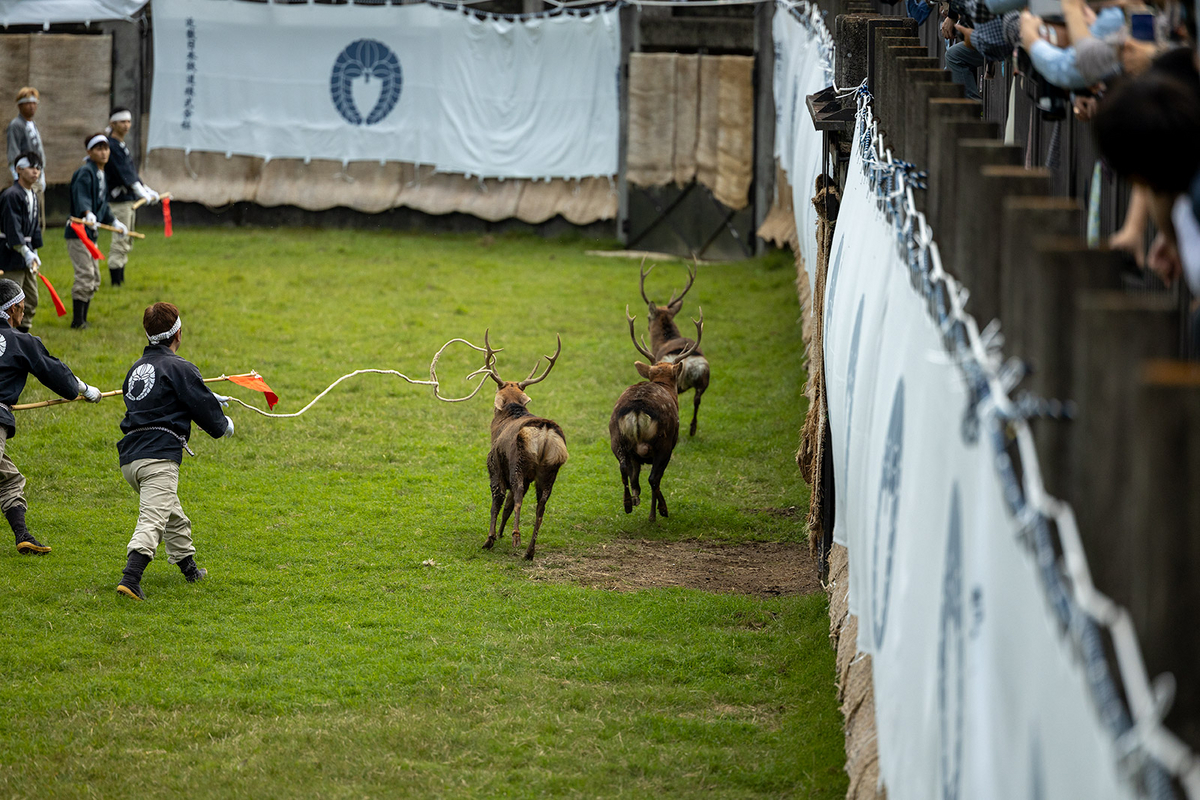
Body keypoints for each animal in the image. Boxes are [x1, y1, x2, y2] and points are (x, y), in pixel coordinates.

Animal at [458, 331, 571, 556]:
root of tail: (545, 431)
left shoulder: (494, 465)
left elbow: (498, 501)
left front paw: (490, 538)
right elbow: (507, 506)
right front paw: (499, 533)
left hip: (519, 463)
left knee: (518, 496)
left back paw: (516, 537)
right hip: (550, 469)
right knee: (540, 506)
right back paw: (529, 551)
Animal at [609, 309, 700, 522]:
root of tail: (637, 409)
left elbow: (635, 476)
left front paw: (636, 499)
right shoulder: (670, 443)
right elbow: (654, 478)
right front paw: (659, 510)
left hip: (616, 438)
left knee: (624, 469)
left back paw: (628, 504)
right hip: (663, 442)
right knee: (654, 478)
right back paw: (658, 512)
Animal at [638, 262, 710, 438]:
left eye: (648, 317)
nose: (648, 326)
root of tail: (687, 360)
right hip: (704, 379)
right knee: (697, 400)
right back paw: (692, 429)